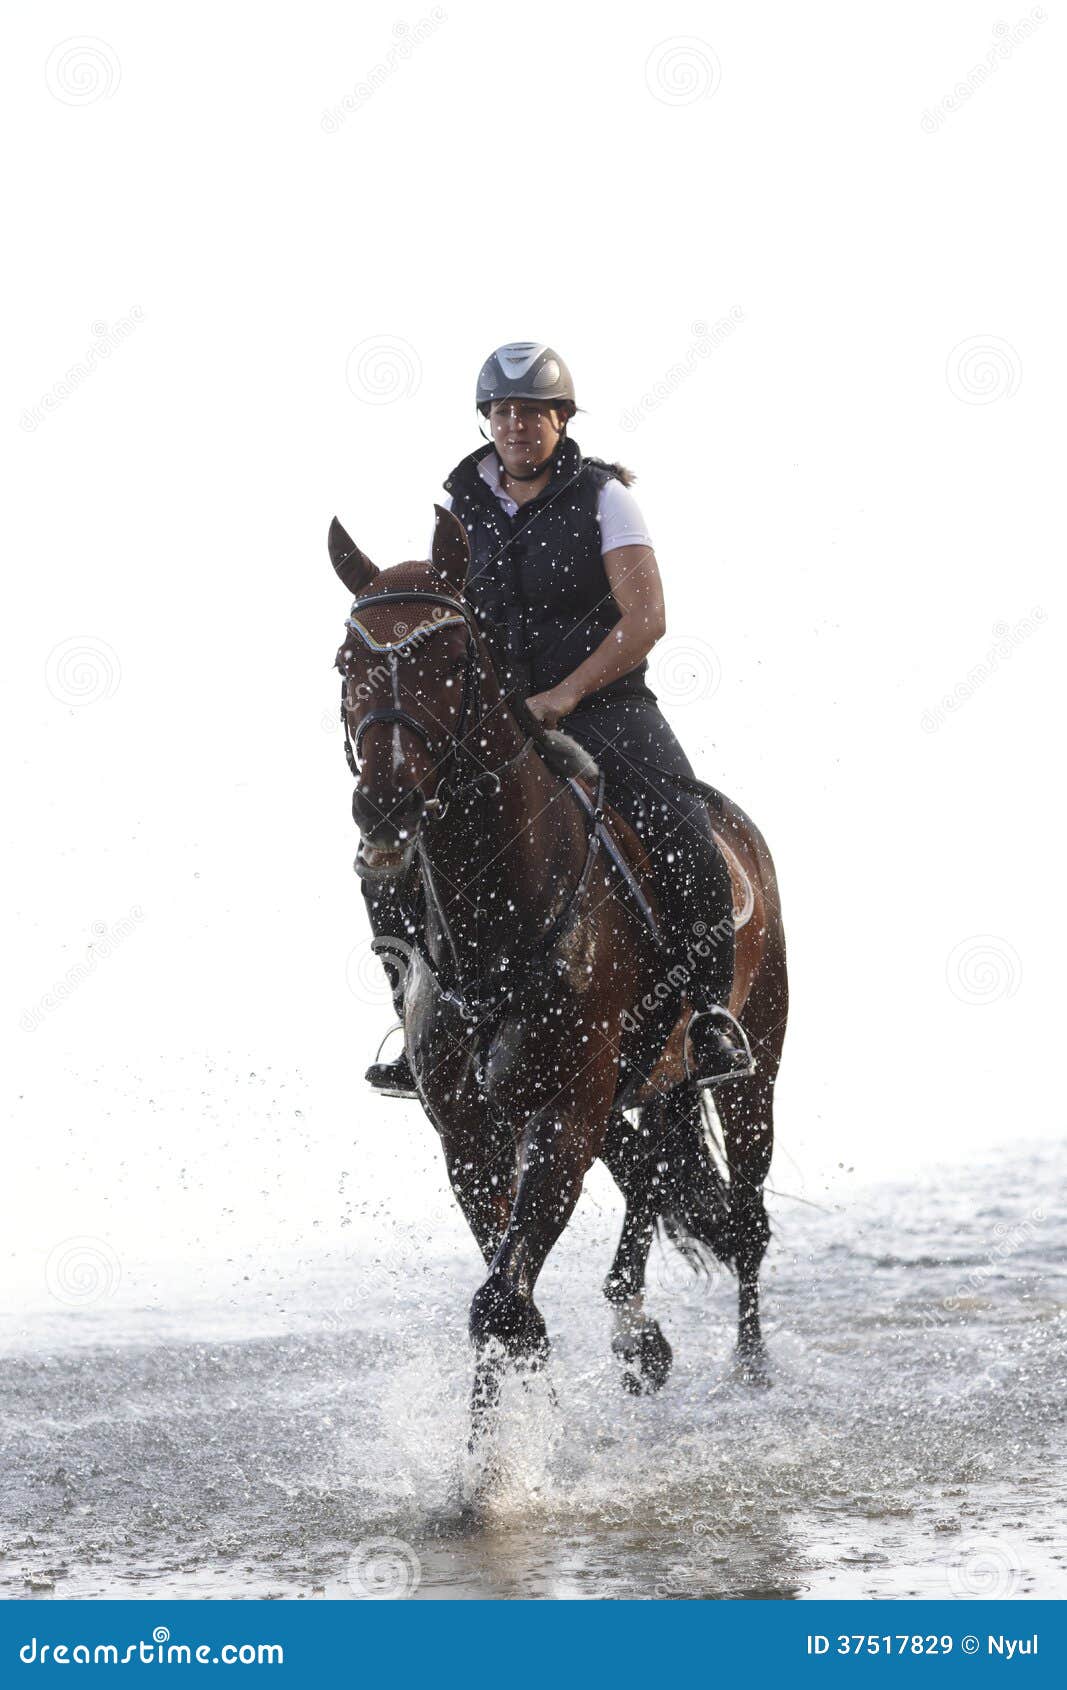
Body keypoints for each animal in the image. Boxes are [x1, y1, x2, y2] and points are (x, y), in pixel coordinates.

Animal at [329, 507, 787, 1419]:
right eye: (344, 662)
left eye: (454, 658)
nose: (385, 805)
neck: (498, 922)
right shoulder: (468, 1127)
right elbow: (511, 1302)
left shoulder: (564, 1109)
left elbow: (501, 1303)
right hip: (637, 1083)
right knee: (651, 1170)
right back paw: (636, 1331)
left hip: (748, 1068)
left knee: (745, 1215)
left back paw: (747, 1367)